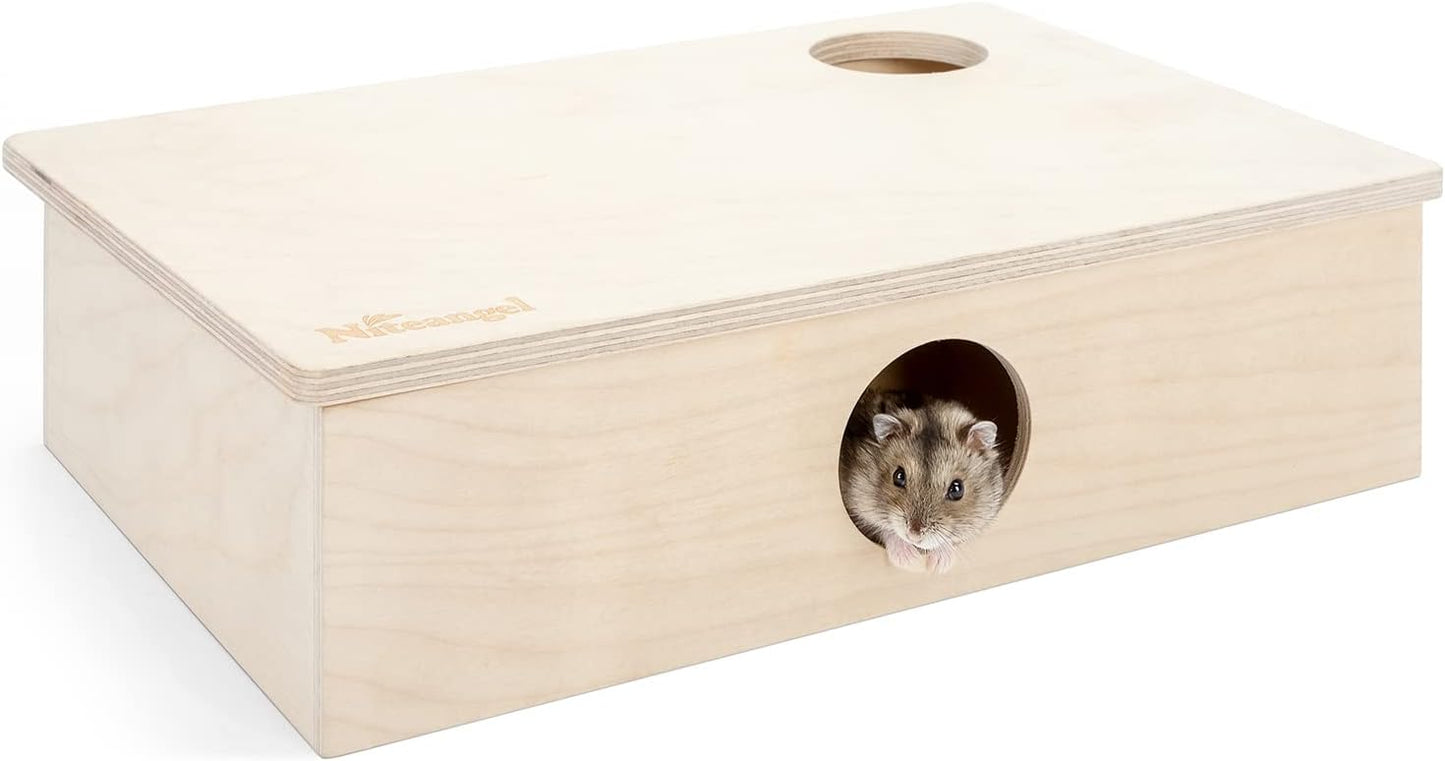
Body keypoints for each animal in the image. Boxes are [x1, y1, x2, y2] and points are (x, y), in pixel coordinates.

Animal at [839, 390, 1005, 574]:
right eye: (898, 476)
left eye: (957, 489)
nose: (913, 535)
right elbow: (881, 527)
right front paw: (909, 560)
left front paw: (939, 565)